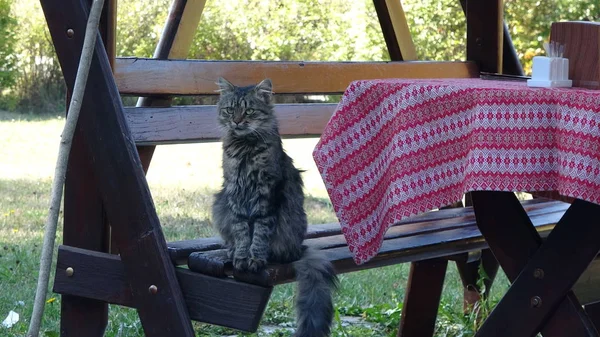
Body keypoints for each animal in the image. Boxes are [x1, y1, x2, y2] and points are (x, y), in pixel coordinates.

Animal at [211, 77, 338, 334]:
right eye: (230, 110)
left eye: (249, 110)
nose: (237, 121)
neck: (245, 148)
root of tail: (300, 247)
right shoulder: (235, 196)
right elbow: (242, 234)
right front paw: (241, 256)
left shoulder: (266, 197)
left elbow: (259, 234)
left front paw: (255, 259)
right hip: (219, 203)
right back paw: (230, 250)